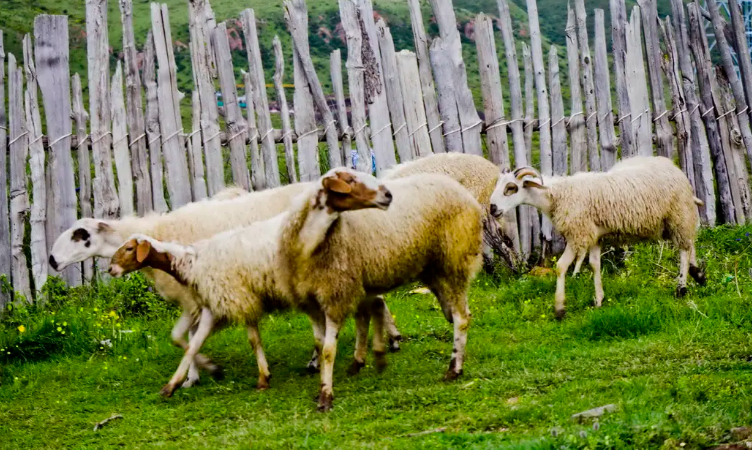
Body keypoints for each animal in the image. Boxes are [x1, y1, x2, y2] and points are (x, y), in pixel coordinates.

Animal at [50, 183, 402, 386]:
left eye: (80, 235)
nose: (52, 261)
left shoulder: (197, 296)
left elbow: (185, 337)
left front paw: (201, 371)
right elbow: (182, 338)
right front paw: (198, 372)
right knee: (372, 298)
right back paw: (386, 339)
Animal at [276, 167, 482, 410]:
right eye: (350, 179)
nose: (388, 195)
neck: (309, 243)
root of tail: (464, 193)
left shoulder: (337, 294)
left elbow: (329, 349)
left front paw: (326, 395)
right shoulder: (314, 301)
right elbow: (324, 341)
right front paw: (351, 365)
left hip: (455, 260)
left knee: (461, 318)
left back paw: (454, 369)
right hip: (436, 270)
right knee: (459, 313)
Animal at [488, 156, 704, 318]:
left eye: (511, 188)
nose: (492, 208)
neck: (557, 194)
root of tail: (673, 166)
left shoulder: (578, 234)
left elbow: (561, 267)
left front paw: (560, 309)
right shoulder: (593, 236)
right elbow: (594, 265)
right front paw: (598, 300)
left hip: (678, 215)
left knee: (684, 249)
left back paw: (682, 288)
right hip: (668, 222)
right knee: (689, 244)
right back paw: (698, 274)